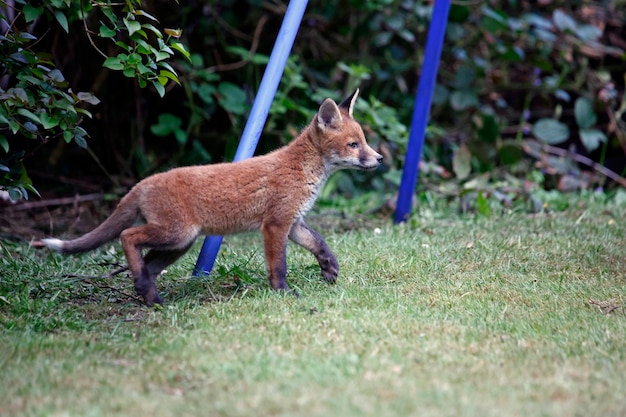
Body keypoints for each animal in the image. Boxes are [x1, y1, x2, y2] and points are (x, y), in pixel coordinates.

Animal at [34, 89, 380, 306]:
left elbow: (320, 242)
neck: (305, 169)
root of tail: (143, 183)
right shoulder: (275, 225)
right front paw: (282, 293)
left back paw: (149, 295)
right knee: (127, 235)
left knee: (146, 264)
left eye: (363, 141)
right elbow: (278, 266)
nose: (378, 159)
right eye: (353, 145)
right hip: (176, 234)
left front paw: (329, 268)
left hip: (178, 245)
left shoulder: (293, 222)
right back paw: (147, 291)